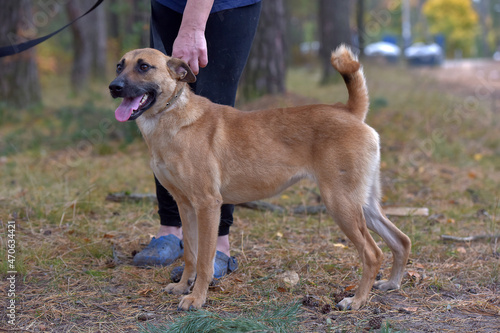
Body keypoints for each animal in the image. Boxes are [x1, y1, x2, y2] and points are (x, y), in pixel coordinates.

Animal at [109, 45, 410, 310]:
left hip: (341, 204)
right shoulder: (185, 206)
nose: (114, 87)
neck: (172, 118)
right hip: (363, 205)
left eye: (144, 67)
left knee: (373, 254)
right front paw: (184, 286)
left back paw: (357, 300)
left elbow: (205, 261)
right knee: (401, 240)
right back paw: (391, 284)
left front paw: (197, 298)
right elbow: (191, 255)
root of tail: (348, 110)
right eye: (119, 66)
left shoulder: (207, 205)